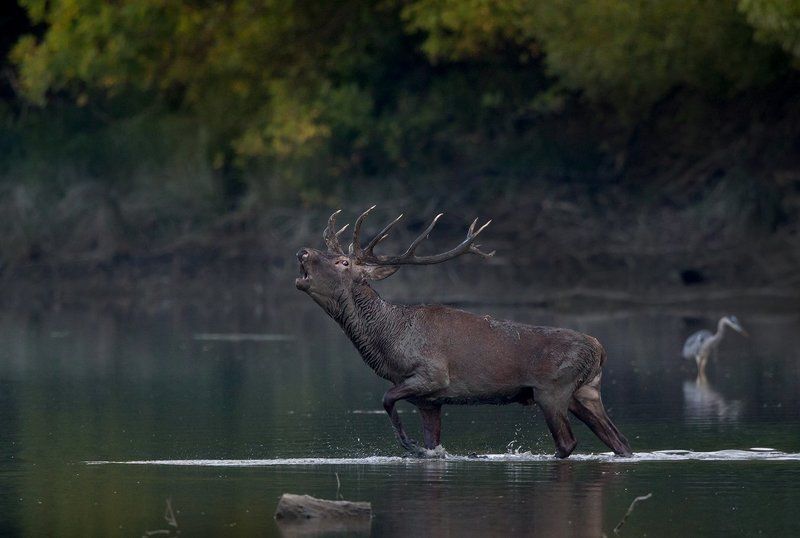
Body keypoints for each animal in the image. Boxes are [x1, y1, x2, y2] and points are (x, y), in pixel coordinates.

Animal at [295, 207, 633, 459]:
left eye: (343, 262)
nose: (303, 251)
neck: (388, 344)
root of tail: (599, 348)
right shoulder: (429, 401)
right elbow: (432, 440)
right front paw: (424, 449)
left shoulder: (432, 375)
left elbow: (386, 399)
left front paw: (409, 445)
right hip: (585, 391)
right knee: (620, 442)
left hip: (552, 389)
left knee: (568, 443)